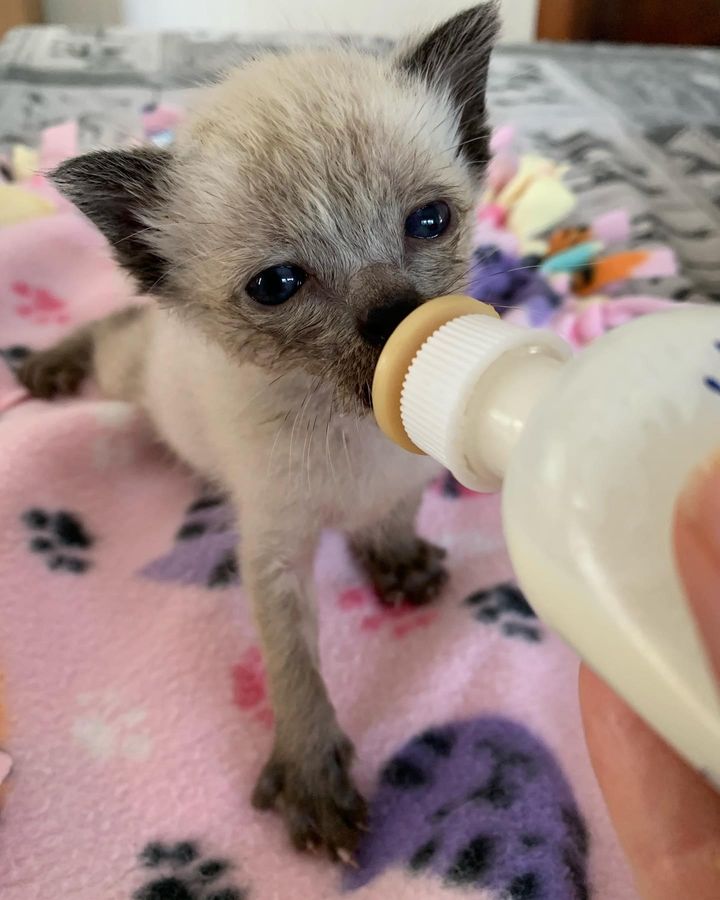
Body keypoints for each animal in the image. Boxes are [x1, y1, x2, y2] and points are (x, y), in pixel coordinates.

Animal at [18, 5, 500, 864]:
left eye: (429, 221)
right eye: (277, 285)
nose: (398, 319)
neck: (354, 427)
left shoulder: (411, 473)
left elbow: (395, 515)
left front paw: (396, 564)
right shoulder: (274, 552)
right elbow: (294, 666)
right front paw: (315, 781)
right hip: (135, 378)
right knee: (114, 329)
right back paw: (49, 366)